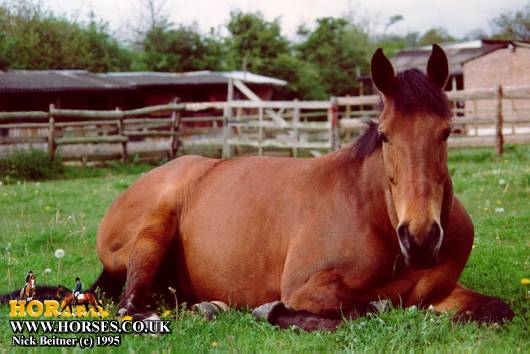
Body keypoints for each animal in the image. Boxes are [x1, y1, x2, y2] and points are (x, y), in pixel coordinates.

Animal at [91, 45, 512, 332]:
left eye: (447, 132)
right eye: (385, 135)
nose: (421, 237)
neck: (373, 214)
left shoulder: (441, 292)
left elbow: (497, 309)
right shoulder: (306, 288)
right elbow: (363, 308)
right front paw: (271, 310)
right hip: (154, 228)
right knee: (130, 306)